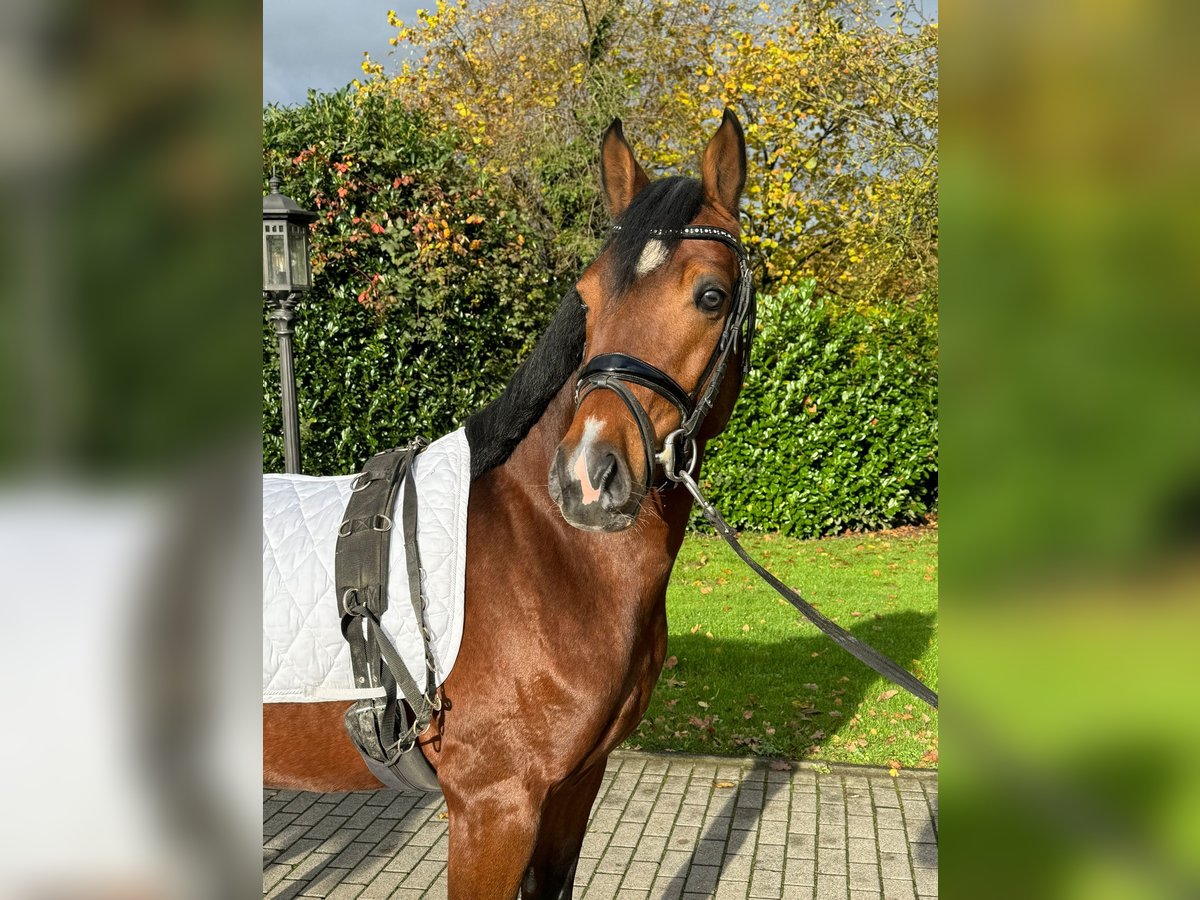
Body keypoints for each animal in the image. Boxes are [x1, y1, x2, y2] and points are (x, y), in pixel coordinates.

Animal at [264, 109, 753, 899]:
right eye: (587, 298)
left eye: (711, 296)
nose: (587, 477)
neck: (544, 557)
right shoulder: (494, 807)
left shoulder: (574, 788)